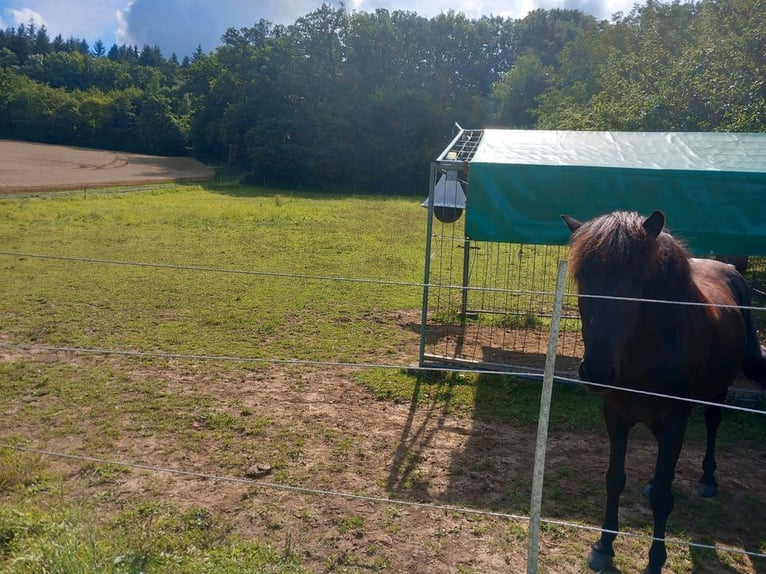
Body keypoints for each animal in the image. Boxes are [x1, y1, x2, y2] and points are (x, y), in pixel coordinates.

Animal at [562, 209, 766, 574]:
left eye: (637, 282)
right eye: (583, 277)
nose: (597, 371)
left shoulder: (674, 420)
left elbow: (662, 498)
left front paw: (655, 561)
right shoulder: (615, 416)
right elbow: (614, 479)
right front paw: (603, 546)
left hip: (718, 390)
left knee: (712, 423)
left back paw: (708, 479)